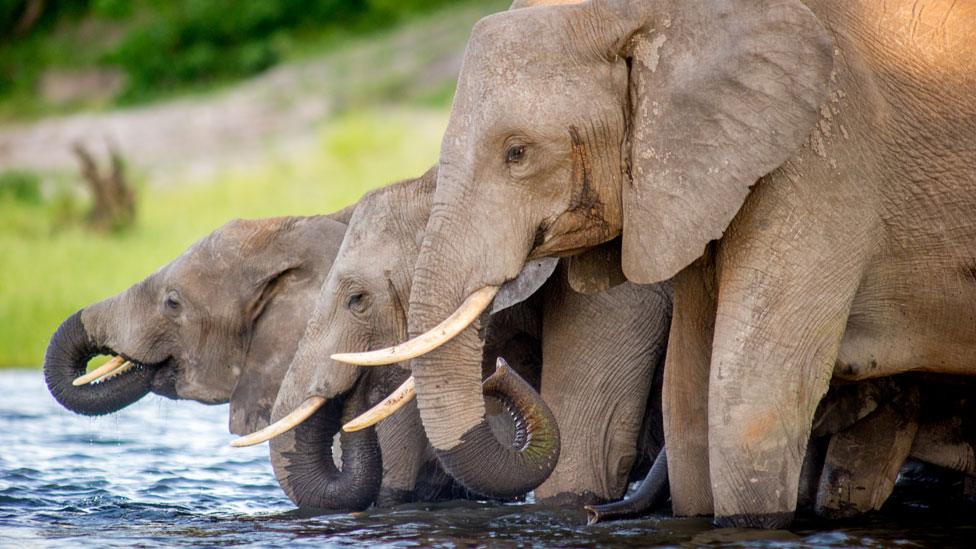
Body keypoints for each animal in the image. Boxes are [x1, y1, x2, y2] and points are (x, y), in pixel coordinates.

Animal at [334, 1, 976, 532]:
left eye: (518, 153)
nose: (497, 372)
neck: (646, 13)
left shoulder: (827, 157)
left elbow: (746, 408)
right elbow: (688, 402)